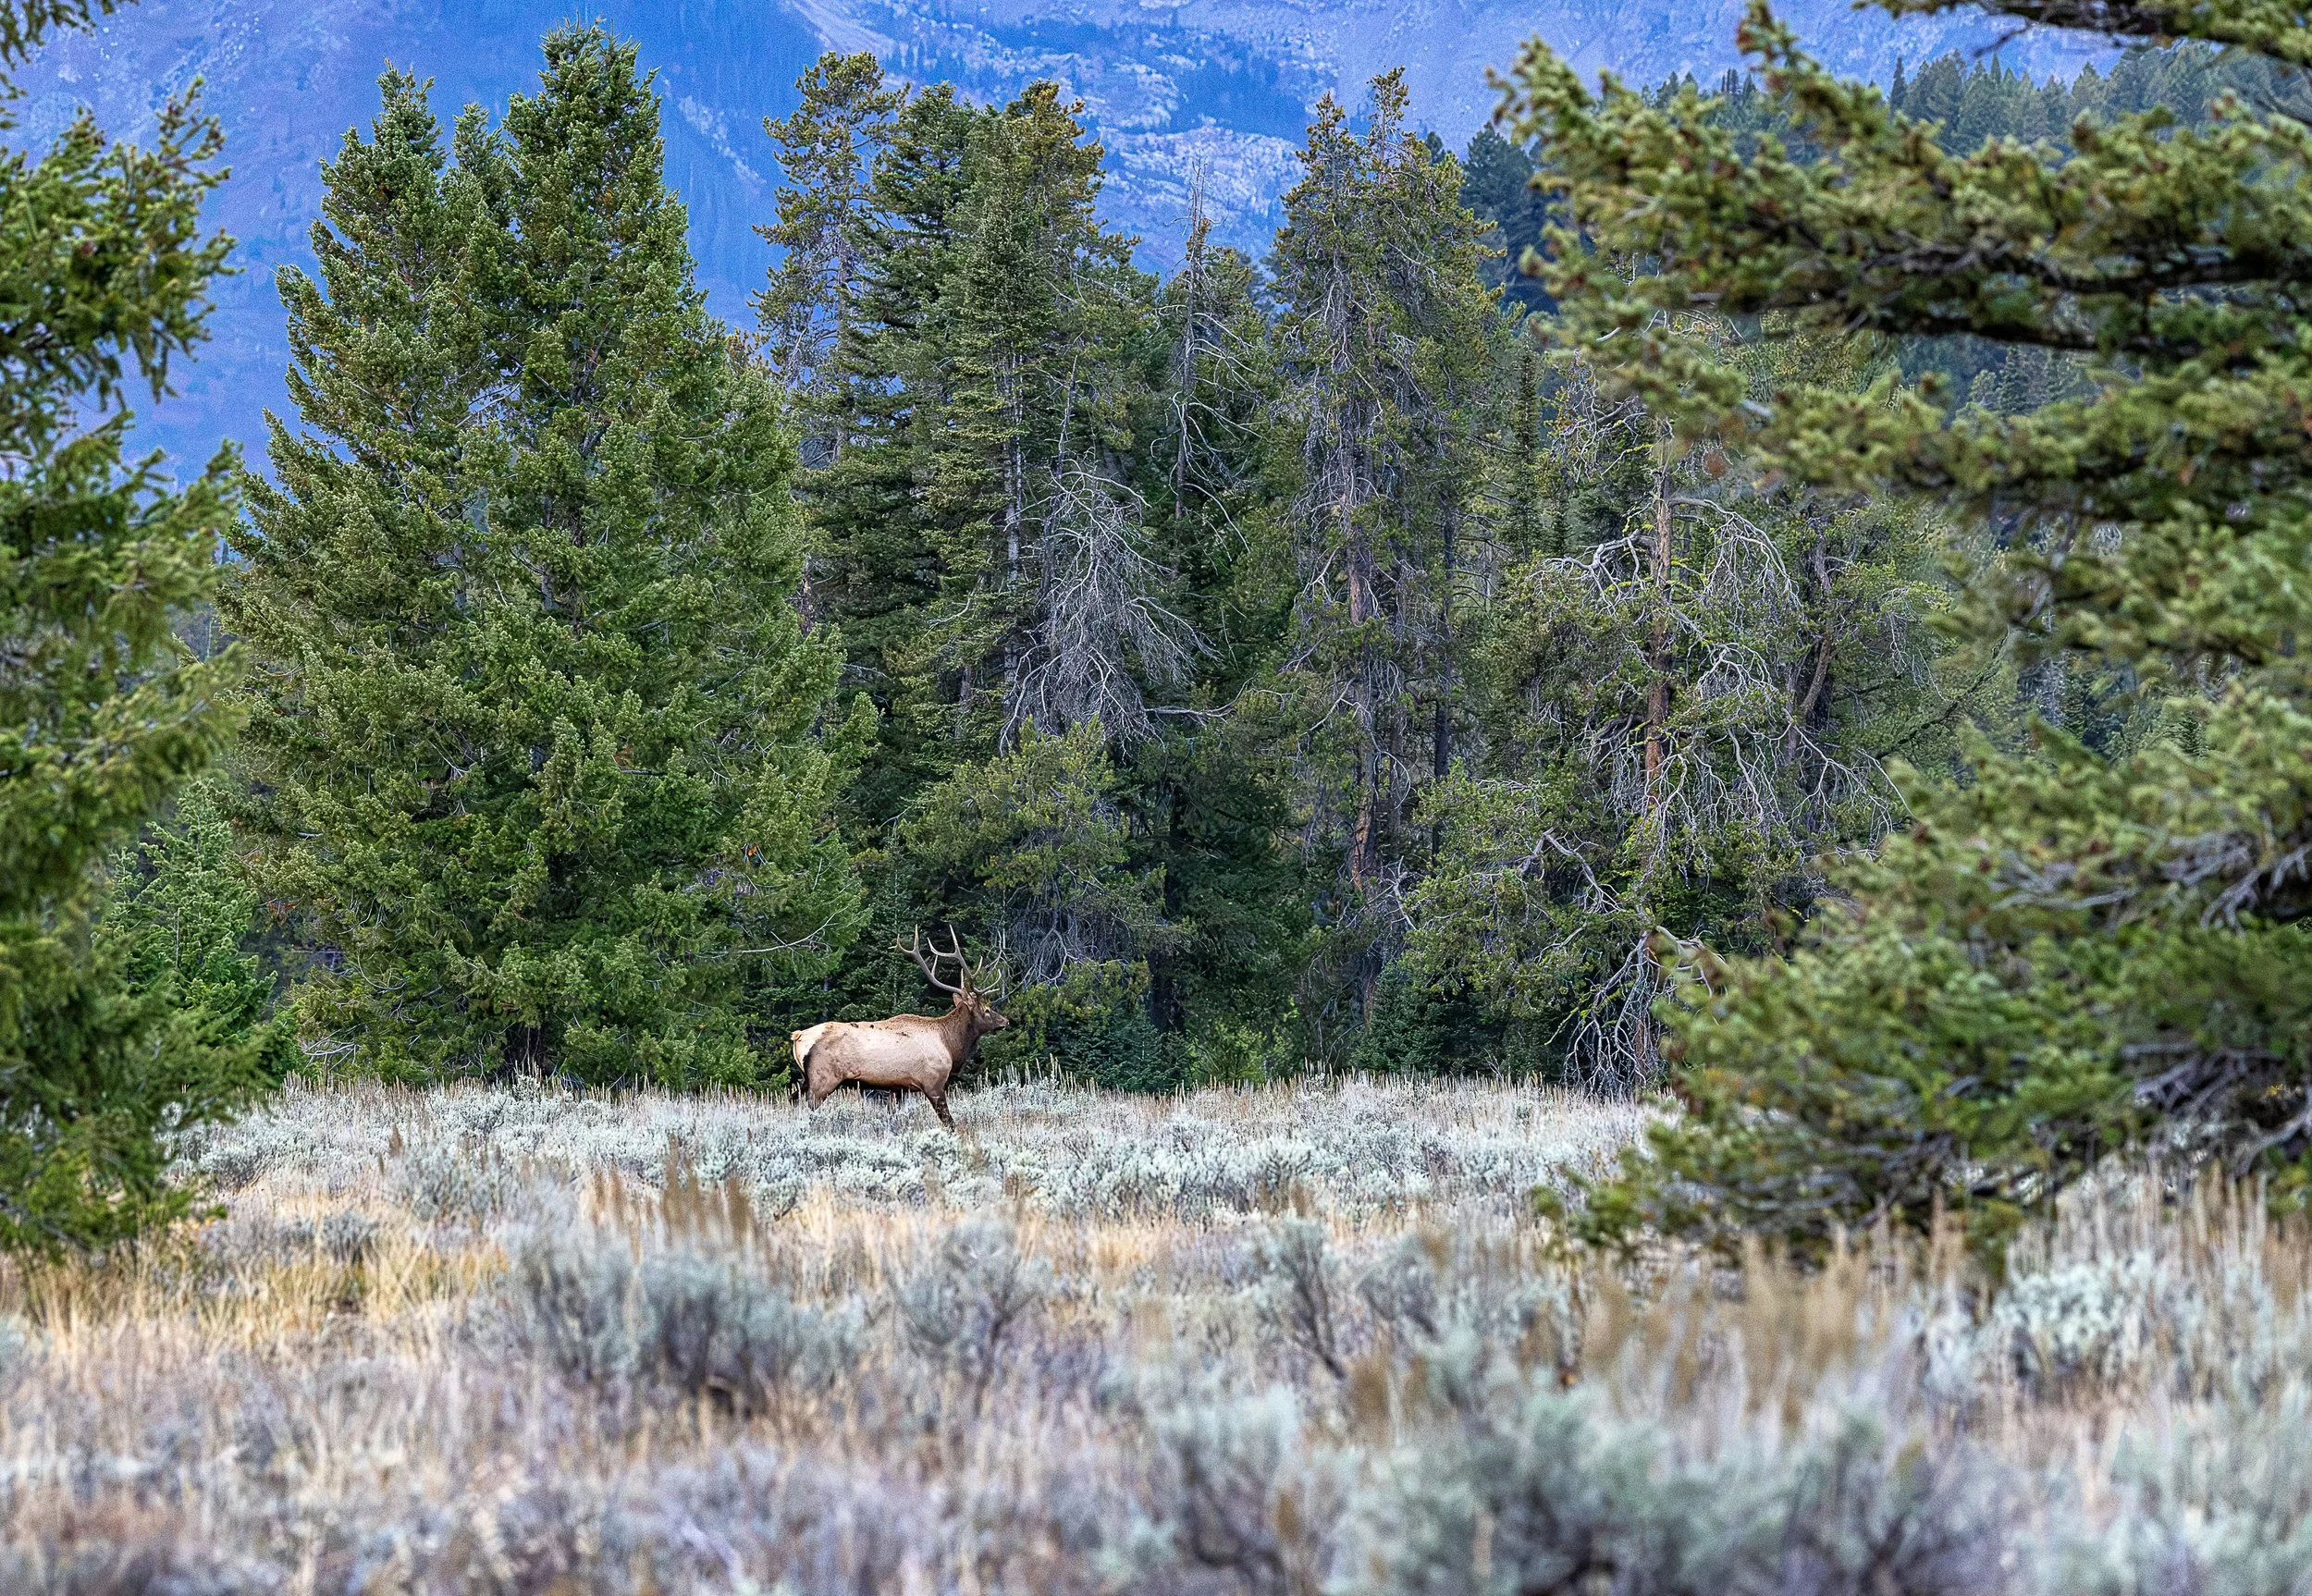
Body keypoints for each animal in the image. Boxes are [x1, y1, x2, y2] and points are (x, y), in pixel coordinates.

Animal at [789, 927, 1009, 1131]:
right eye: (987, 1010)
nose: (1005, 1021)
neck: (950, 1045)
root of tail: (798, 1037)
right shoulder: (934, 1082)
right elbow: (949, 1122)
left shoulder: (898, 1087)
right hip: (822, 1079)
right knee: (809, 1106)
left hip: (807, 1079)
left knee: (793, 1099)